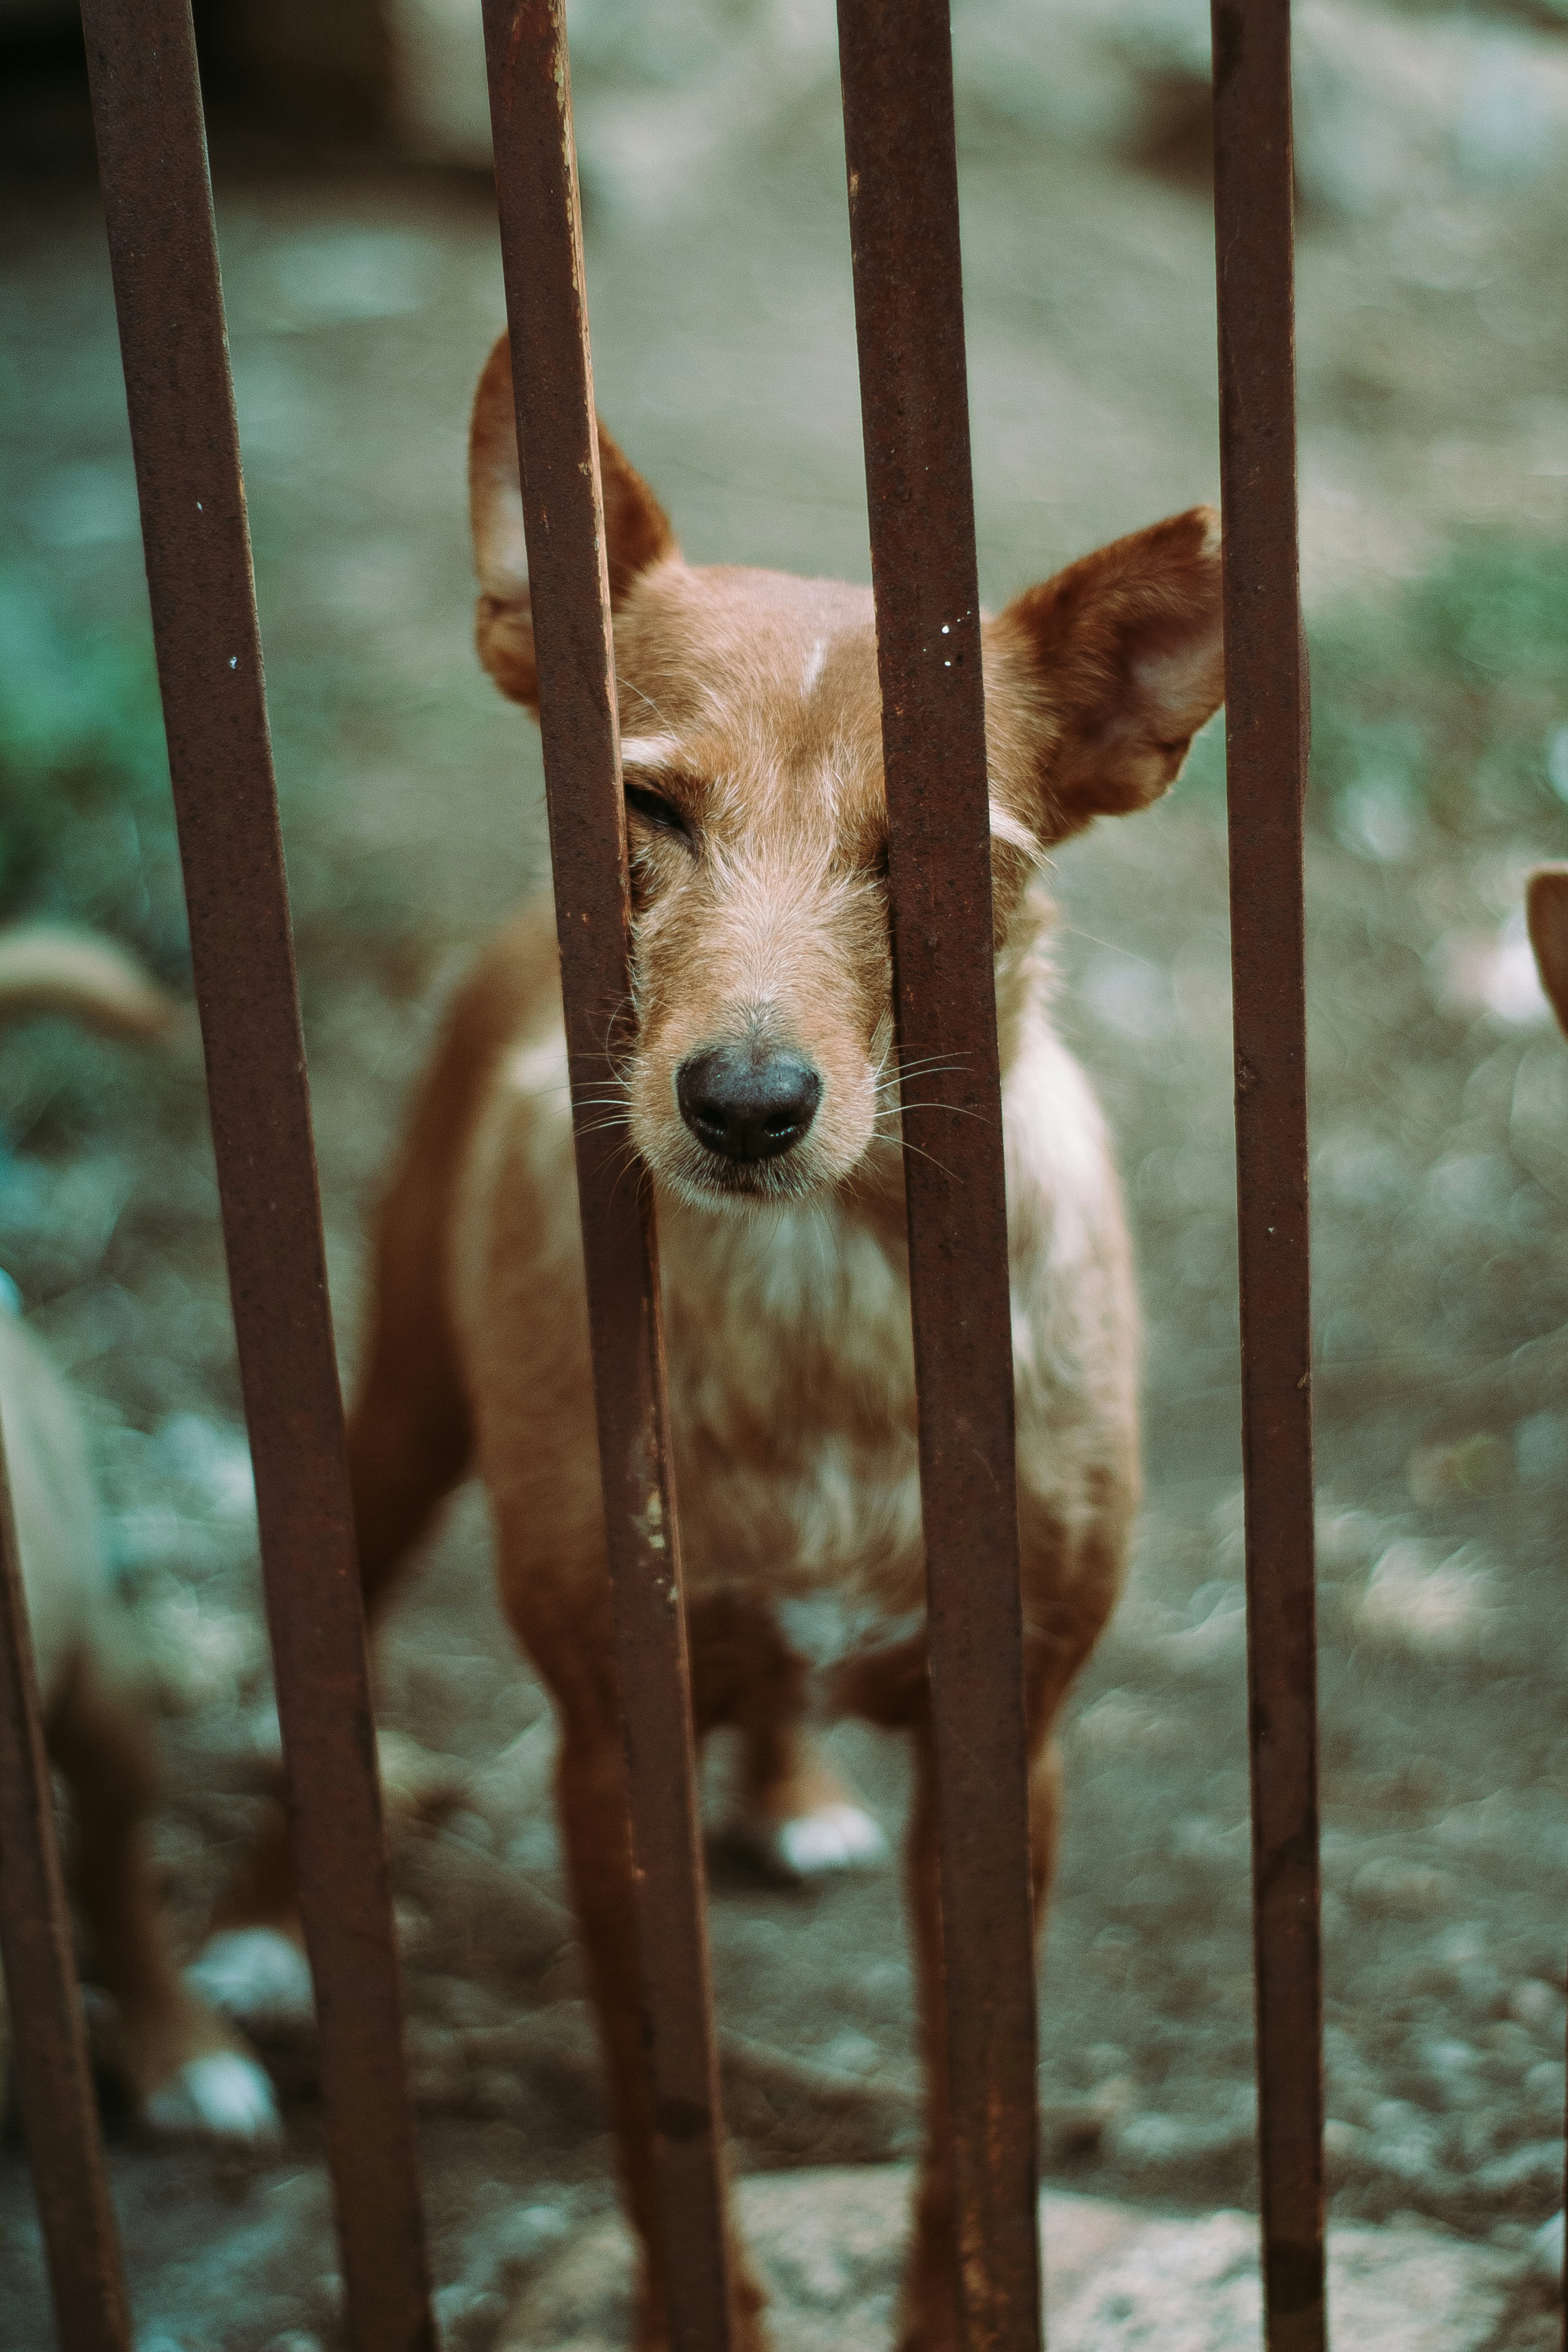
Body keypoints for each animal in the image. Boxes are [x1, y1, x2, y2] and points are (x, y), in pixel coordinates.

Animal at [248, 336, 1222, 2352]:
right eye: (650, 813)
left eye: (931, 858)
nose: (750, 1105)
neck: (817, 1317)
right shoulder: (603, 1766)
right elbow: (660, 2111)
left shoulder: (1006, 1759)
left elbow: (968, 2107)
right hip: (389, 1426)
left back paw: (792, 1782)